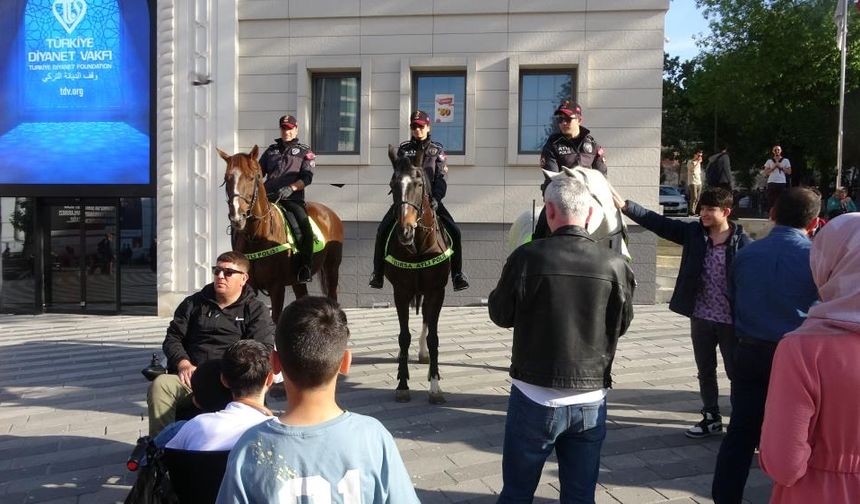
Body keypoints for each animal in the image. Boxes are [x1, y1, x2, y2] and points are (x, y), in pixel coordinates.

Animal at [217, 146, 344, 322]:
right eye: (227, 178)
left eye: (251, 178)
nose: (237, 217)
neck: (257, 237)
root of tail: (330, 213)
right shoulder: (250, 285)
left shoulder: (277, 288)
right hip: (298, 280)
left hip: (332, 269)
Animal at [384, 144, 450, 404]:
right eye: (393, 184)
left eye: (419, 184)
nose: (405, 231)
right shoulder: (400, 292)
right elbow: (403, 337)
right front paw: (402, 384)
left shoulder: (436, 291)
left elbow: (434, 337)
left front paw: (435, 387)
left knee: (427, 322)